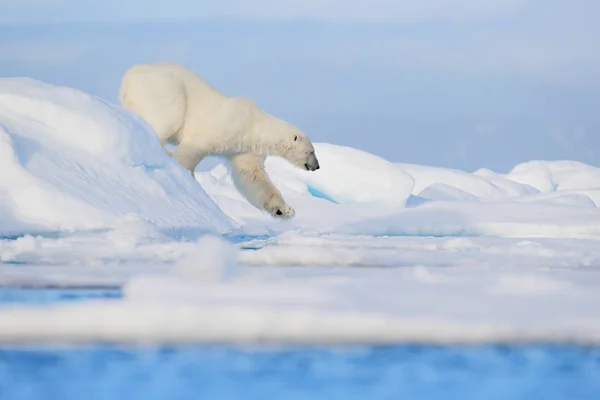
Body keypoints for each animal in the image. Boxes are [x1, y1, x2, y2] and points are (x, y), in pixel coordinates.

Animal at [119, 61, 322, 219]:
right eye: (310, 151)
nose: (317, 166)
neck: (254, 126)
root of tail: (130, 74)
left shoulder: (244, 149)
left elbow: (252, 177)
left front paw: (285, 210)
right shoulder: (227, 125)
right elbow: (194, 147)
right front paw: (187, 177)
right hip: (165, 91)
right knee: (166, 118)